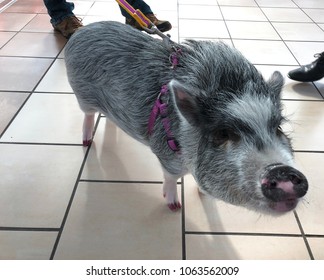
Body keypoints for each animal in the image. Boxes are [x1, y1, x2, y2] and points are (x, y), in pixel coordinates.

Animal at [64, 20, 308, 213]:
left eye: (278, 128)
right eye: (223, 133)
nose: (281, 170)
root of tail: (83, 30)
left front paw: (204, 196)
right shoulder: (166, 153)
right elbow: (171, 177)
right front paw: (174, 207)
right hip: (82, 94)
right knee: (88, 116)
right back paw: (86, 141)